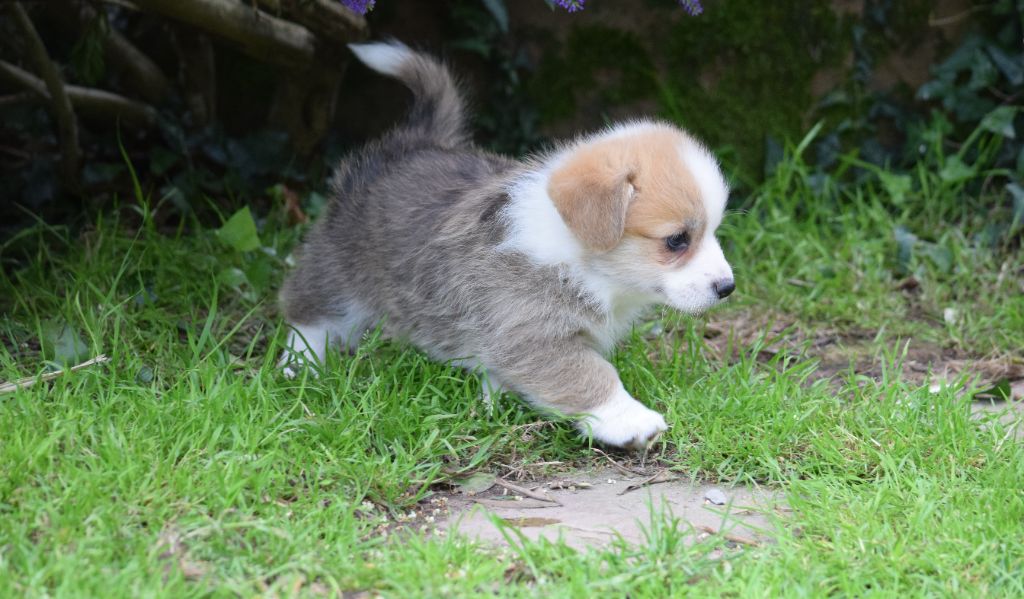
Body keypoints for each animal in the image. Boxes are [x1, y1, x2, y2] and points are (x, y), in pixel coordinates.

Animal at [279, 41, 734, 449]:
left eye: (713, 230)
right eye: (676, 240)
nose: (728, 288)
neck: (579, 256)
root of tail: (409, 141)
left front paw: (494, 402)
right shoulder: (535, 336)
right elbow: (592, 376)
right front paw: (630, 421)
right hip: (334, 266)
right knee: (308, 312)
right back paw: (298, 366)